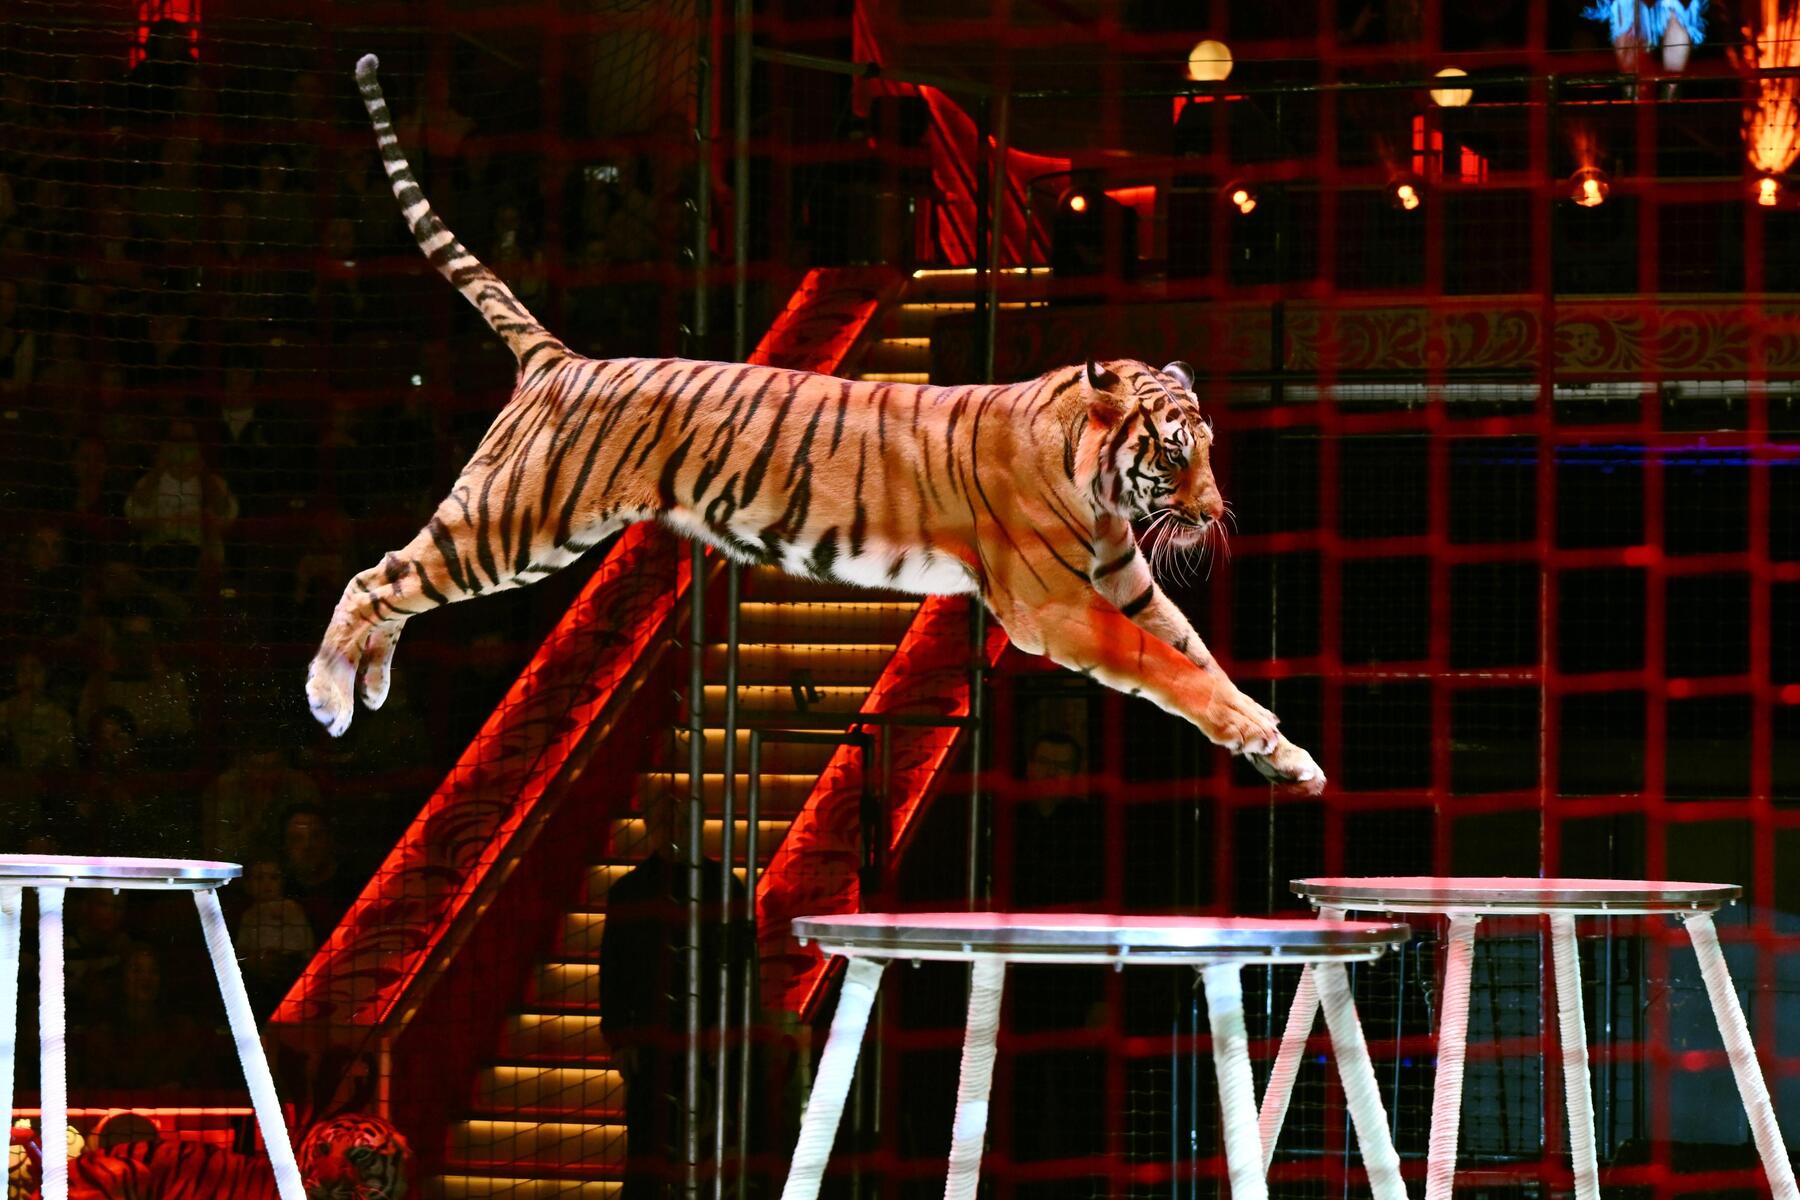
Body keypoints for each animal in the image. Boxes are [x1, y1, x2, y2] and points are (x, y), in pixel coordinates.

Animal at [305, 54, 1325, 792]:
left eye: (1206, 451)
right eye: (1175, 452)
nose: (1217, 513)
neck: (1097, 479)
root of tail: (562, 359)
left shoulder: (1126, 584)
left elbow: (1200, 662)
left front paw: (1282, 751)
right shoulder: (1054, 607)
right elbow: (1167, 669)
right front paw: (1263, 733)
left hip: (527, 534)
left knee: (397, 585)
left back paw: (372, 681)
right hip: (515, 521)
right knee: (375, 575)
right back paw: (329, 695)